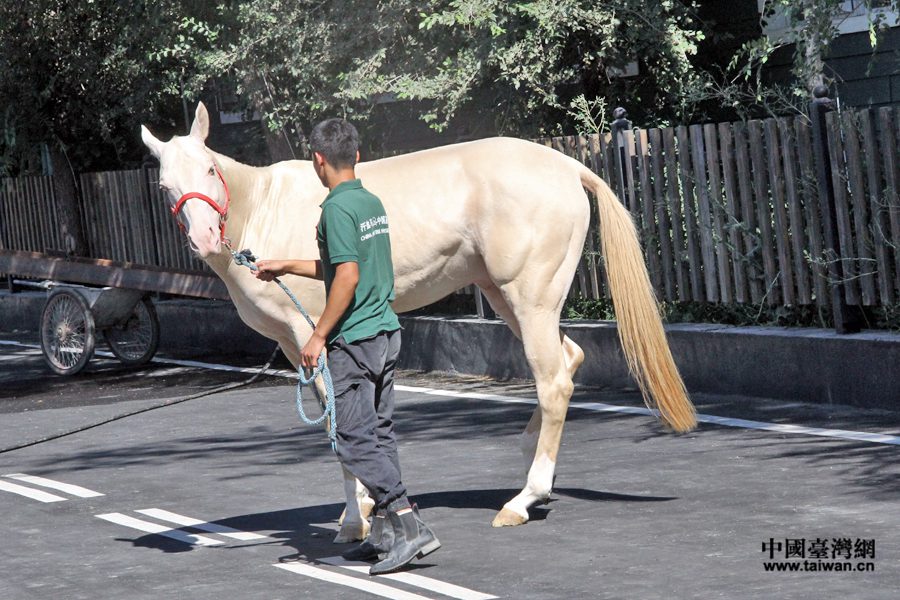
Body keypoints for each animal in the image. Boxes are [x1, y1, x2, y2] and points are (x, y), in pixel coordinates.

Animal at [142, 103, 696, 544]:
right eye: (166, 186)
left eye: (210, 169)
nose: (206, 238)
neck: (263, 209)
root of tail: (567, 166)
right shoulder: (293, 343)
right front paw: (367, 504)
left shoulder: (310, 335)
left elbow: (338, 424)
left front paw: (354, 521)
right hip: (506, 299)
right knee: (568, 359)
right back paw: (530, 465)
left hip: (530, 298)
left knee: (553, 380)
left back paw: (523, 499)